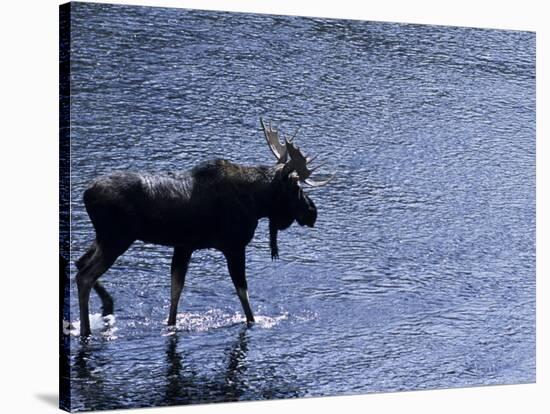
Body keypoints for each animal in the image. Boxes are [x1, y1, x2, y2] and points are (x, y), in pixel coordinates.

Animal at [75, 117, 334, 336]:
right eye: (296, 188)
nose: (313, 212)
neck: (257, 202)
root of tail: (86, 195)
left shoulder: (184, 245)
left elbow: (176, 290)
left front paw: (171, 322)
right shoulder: (234, 246)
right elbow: (243, 293)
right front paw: (253, 321)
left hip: (104, 238)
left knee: (80, 263)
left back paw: (107, 306)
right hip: (117, 238)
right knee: (84, 276)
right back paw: (86, 329)